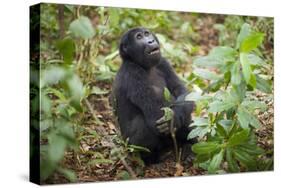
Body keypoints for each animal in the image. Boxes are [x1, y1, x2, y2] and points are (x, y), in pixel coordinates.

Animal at [111, 27, 195, 164]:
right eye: (139, 37)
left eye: (147, 34)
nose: (150, 41)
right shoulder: (133, 73)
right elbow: (155, 114)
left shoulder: (163, 62)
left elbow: (180, 91)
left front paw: (177, 115)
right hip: (129, 147)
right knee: (143, 124)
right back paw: (149, 161)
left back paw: (188, 146)